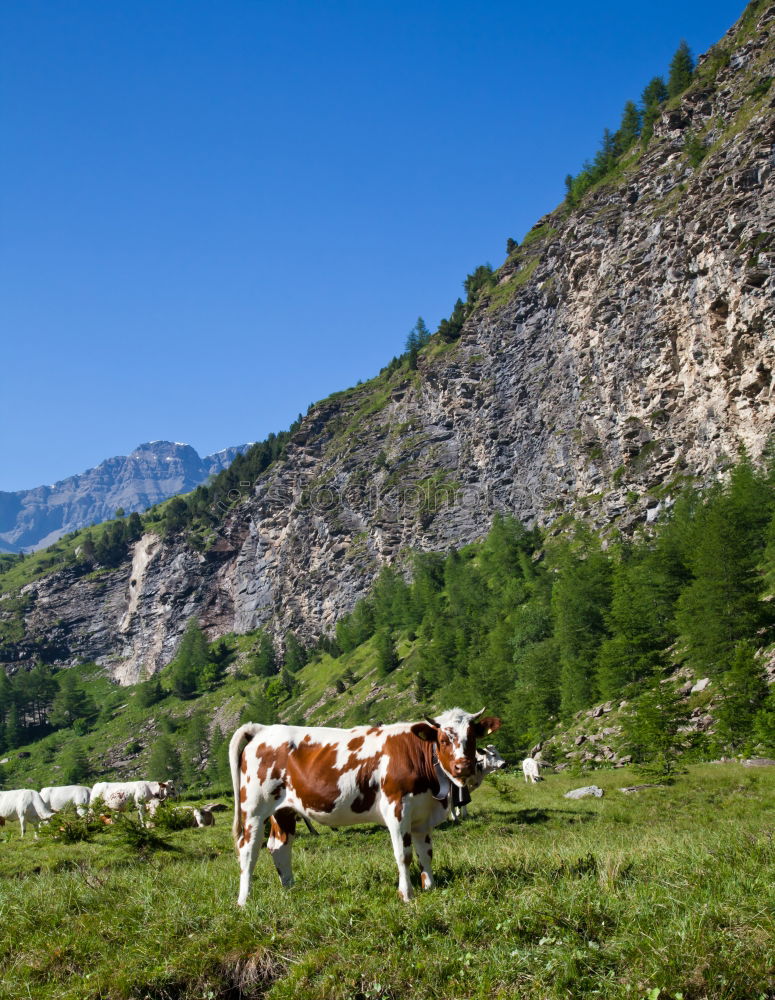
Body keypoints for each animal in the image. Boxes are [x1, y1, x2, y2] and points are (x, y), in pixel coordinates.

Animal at [229, 704, 504, 908]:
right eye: (443, 739)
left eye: (472, 737)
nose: (463, 767)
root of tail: (263, 729)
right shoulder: (397, 809)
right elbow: (403, 855)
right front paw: (407, 894)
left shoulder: (422, 815)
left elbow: (425, 853)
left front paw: (431, 887)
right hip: (254, 808)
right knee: (248, 849)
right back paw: (244, 900)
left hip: (283, 810)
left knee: (279, 846)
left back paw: (289, 890)